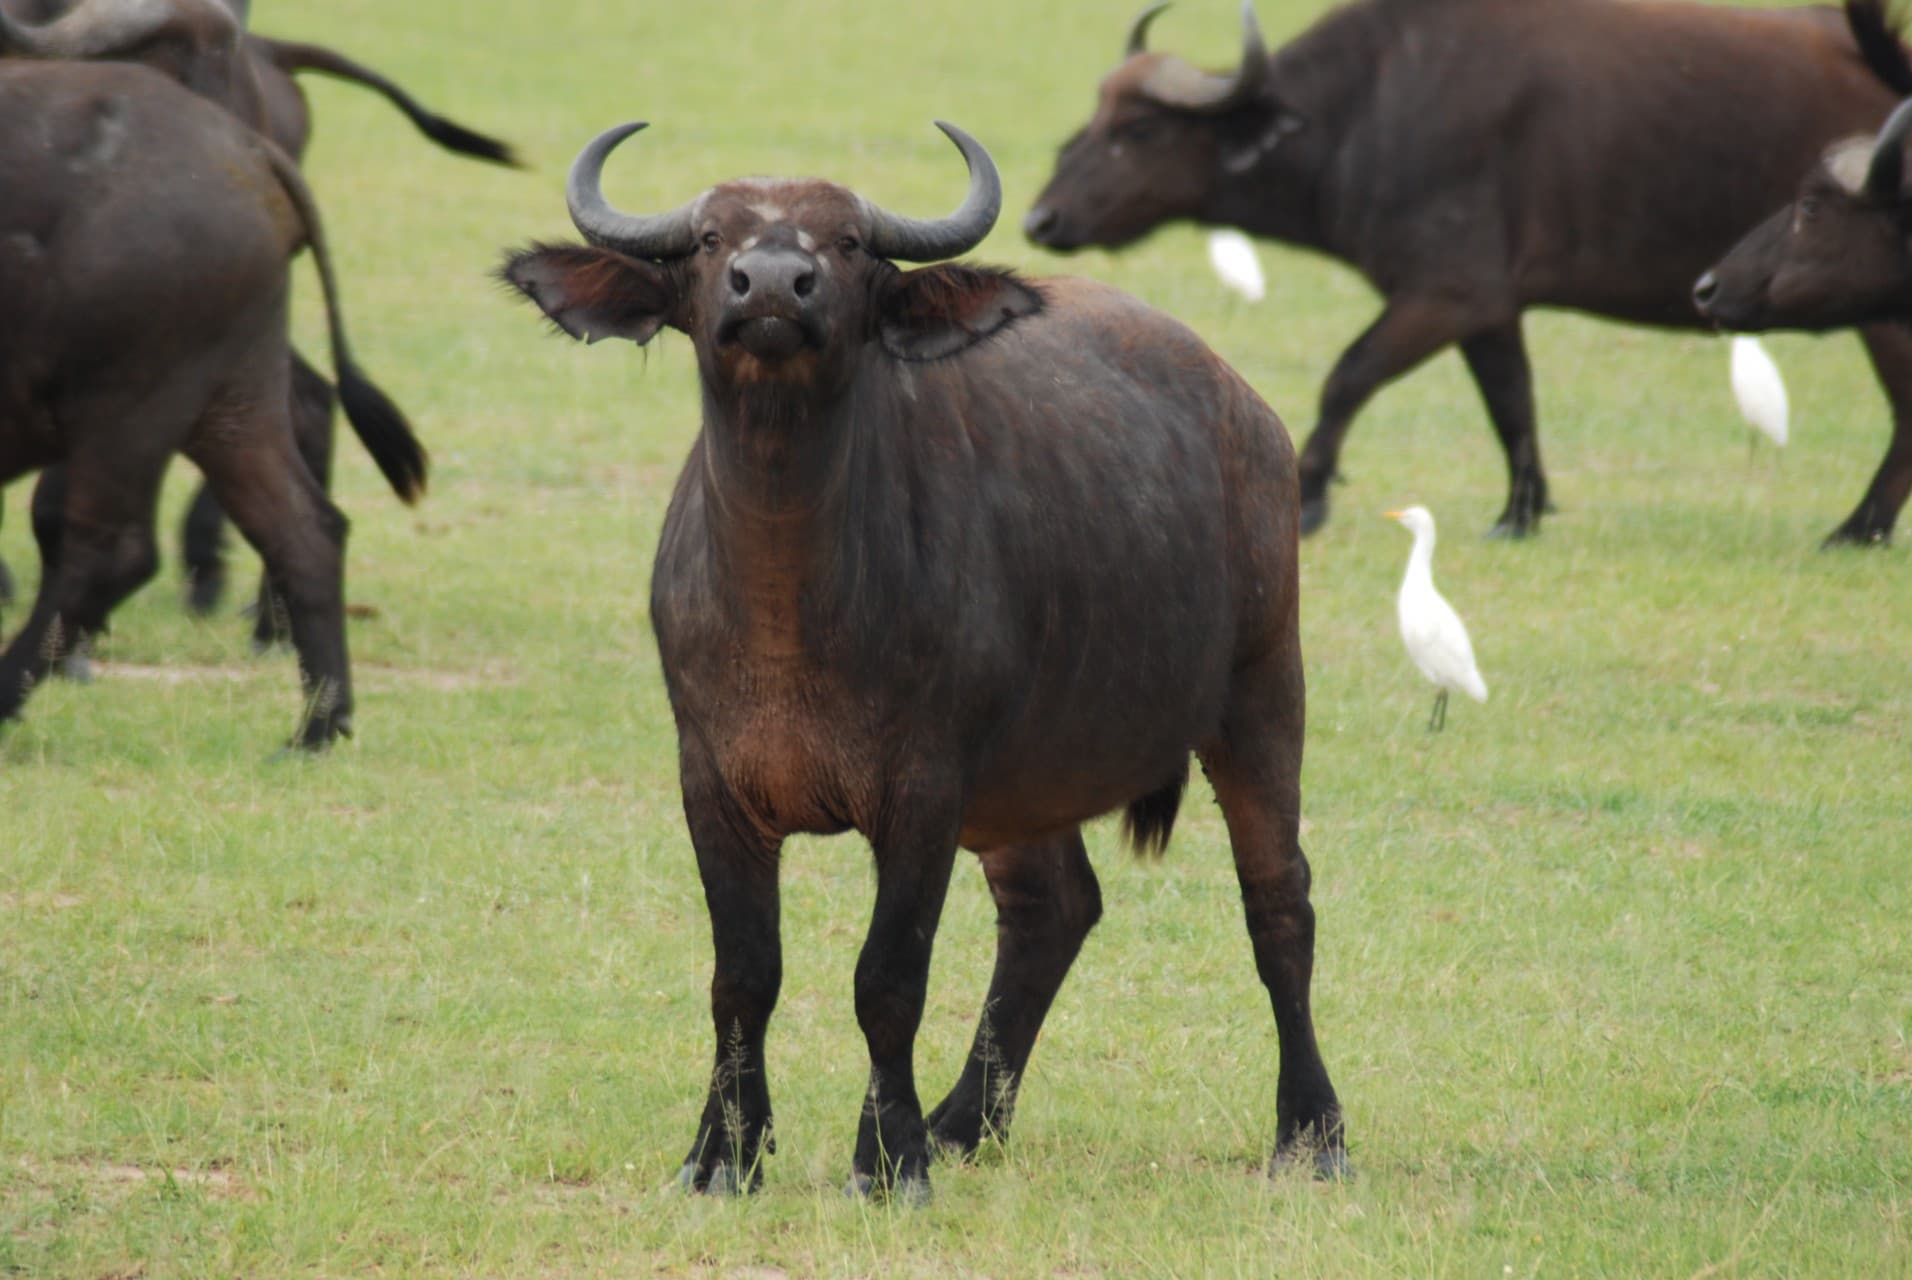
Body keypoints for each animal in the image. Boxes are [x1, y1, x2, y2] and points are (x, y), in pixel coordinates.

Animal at [0, 61, 425, 746]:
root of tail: (247, 151)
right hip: (230, 402)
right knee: (303, 524)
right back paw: (315, 729)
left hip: (129, 404)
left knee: (110, 549)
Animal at [504, 122, 1345, 1198]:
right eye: (708, 238)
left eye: (850, 242)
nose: (771, 285)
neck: (789, 604)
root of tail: (1249, 415)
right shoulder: (713, 782)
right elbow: (743, 975)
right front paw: (723, 1152)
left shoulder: (924, 789)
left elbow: (888, 976)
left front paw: (888, 1154)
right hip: (1026, 784)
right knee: (1052, 910)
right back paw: (967, 1120)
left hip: (1262, 689)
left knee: (1279, 902)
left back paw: (1311, 1128)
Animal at [1026, 0, 1912, 545]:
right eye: (1096, 117)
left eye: (1139, 129)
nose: (1041, 219)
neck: (1370, 107)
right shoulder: (1491, 309)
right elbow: (1512, 403)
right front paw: (1521, 512)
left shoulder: (1445, 293)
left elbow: (1347, 375)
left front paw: (1310, 493)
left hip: (1882, 314)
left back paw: (1857, 527)